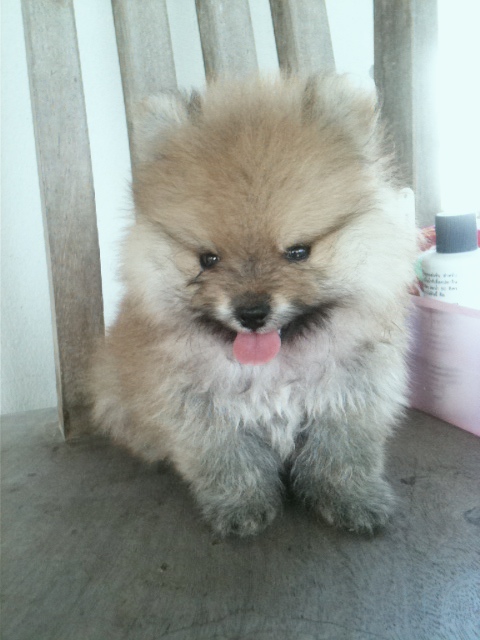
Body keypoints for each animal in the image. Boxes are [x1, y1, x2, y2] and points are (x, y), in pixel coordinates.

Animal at [90, 75, 417, 537]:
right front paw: (240, 506)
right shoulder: (201, 414)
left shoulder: (350, 399)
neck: (274, 368)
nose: (250, 312)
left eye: (298, 252)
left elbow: (343, 457)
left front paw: (354, 500)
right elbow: (229, 463)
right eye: (208, 259)